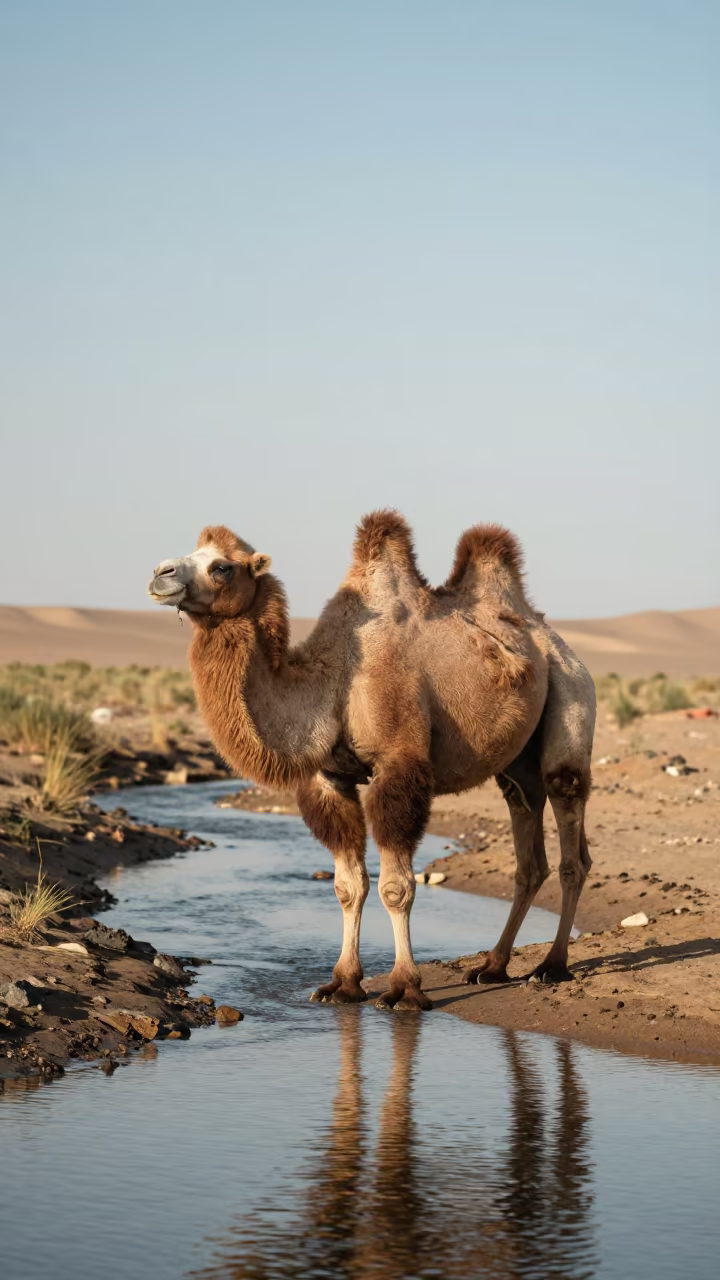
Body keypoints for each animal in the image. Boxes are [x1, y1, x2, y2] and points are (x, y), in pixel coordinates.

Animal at [148, 511, 596, 1010]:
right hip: (516, 766)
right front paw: (342, 983)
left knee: (570, 837)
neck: (332, 681)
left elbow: (396, 886)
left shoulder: (399, 766)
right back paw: (493, 966)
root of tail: (555, 642)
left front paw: (404, 988)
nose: (161, 574)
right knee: (527, 846)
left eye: (222, 566)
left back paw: (551, 966)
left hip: (571, 699)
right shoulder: (331, 779)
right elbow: (349, 885)